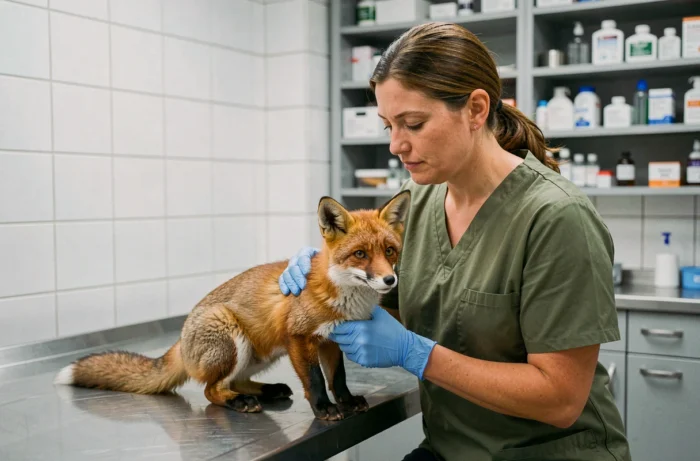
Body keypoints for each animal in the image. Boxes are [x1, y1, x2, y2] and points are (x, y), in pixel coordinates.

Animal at [53, 191, 411, 421]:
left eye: (390, 251)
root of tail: (181, 341)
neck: (345, 299)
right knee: (212, 390)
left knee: (233, 382)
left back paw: (266, 391)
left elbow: (338, 379)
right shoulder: (299, 337)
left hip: (261, 354)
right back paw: (241, 403)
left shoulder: (333, 340)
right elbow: (316, 381)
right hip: (232, 337)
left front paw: (348, 402)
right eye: (360, 254)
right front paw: (324, 409)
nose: (389, 281)